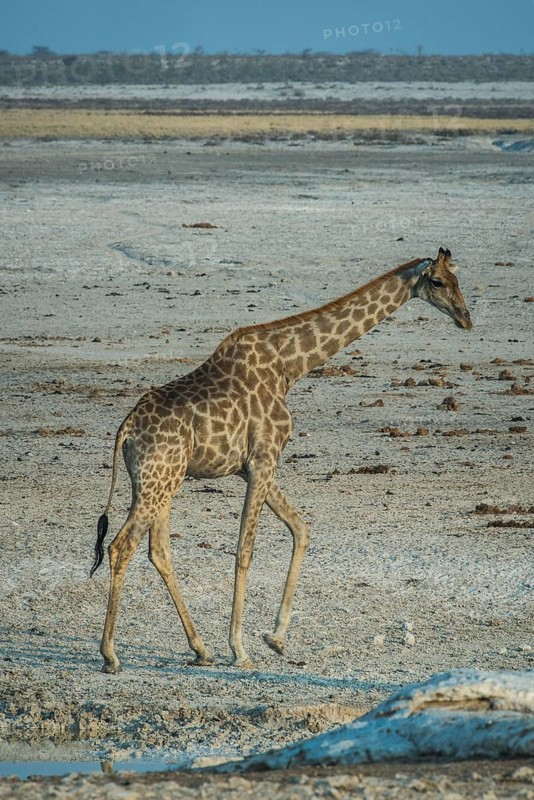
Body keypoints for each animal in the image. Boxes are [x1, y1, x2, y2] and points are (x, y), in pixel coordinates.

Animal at [91, 246, 472, 673]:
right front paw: (240, 648)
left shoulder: (251, 466)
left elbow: (301, 529)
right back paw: (111, 654)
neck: (290, 366)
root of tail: (126, 429)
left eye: (459, 280)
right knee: (121, 546)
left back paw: (200, 648)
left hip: (160, 482)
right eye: (437, 282)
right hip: (158, 481)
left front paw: (277, 637)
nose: (465, 318)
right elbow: (245, 550)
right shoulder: (263, 459)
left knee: (158, 551)